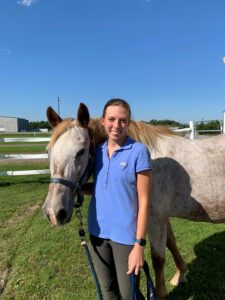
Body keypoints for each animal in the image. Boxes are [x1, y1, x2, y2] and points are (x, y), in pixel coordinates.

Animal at [42, 102, 225, 298]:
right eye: (49, 152)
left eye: (81, 151)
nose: (54, 212)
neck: (151, 160)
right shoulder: (162, 217)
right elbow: (171, 242)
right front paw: (180, 274)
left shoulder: (155, 219)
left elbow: (158, 260)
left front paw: (160, 293)